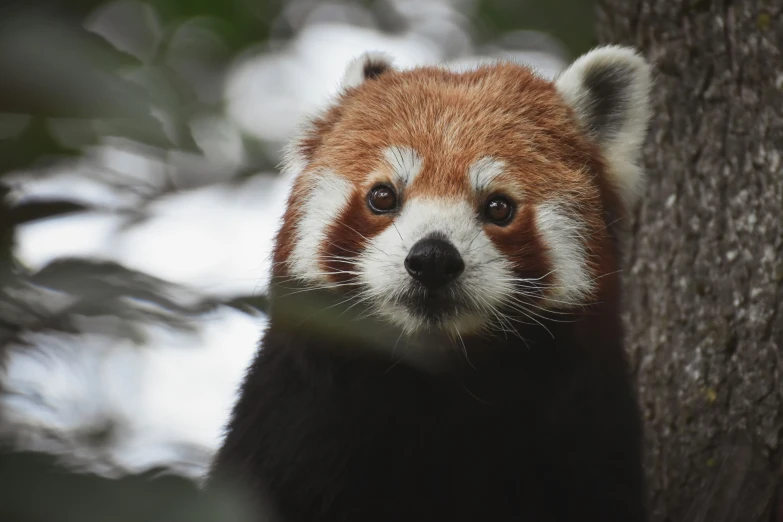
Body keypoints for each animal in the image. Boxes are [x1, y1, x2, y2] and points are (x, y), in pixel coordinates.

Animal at [208, 44, 656, 520]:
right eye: (383, 196)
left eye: (499, 207)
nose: (433, 259)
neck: (434, 391)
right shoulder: (290, 425)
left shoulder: (586, 438)